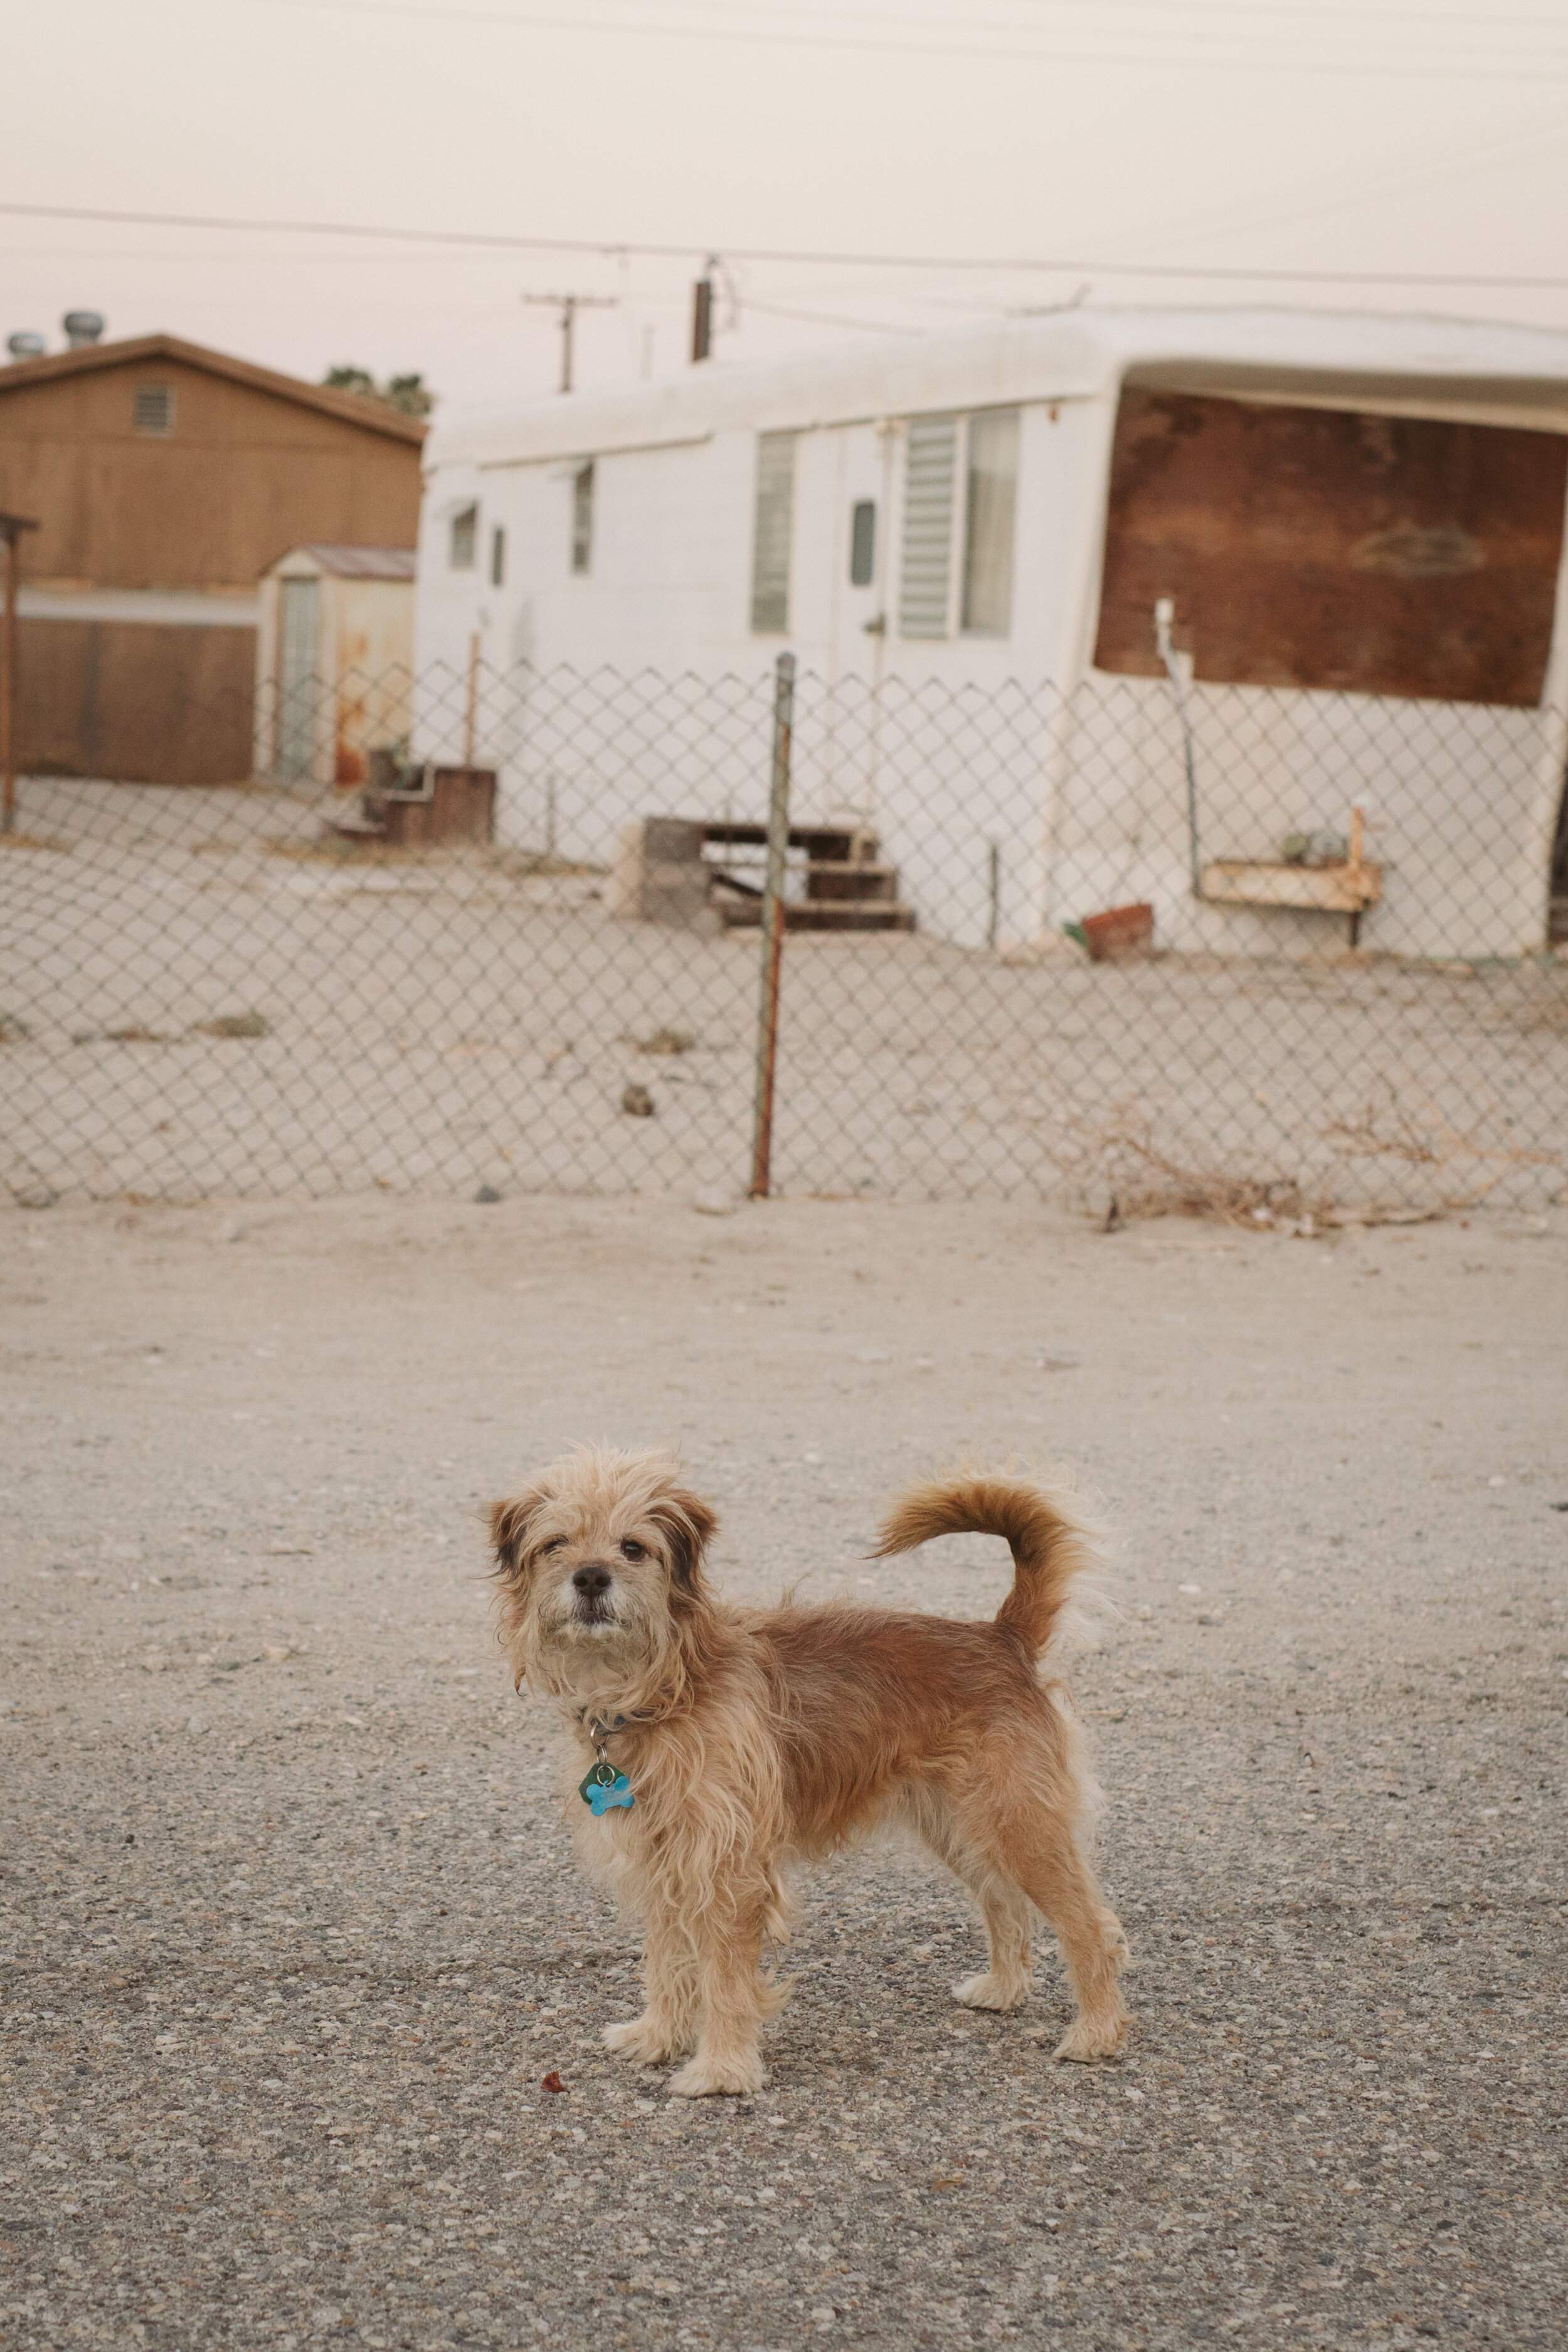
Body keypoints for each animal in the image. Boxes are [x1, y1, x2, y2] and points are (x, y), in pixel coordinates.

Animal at [494, 1439, 1128, 2107]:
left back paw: (1097, 2032)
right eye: (556, 1544)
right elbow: (668, 1961)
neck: (664, 1688)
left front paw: (721, 2069)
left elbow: (723, 1977)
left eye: (634, 1548)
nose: (591, 1577)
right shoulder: (664, 1862)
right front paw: (658, 2036)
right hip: (963, 1828)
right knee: (1003, 1901)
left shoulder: (727, 1871)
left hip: (1020, 1824)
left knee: (1090, 1926)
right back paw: (1004, 1989)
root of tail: (1003, 1638)